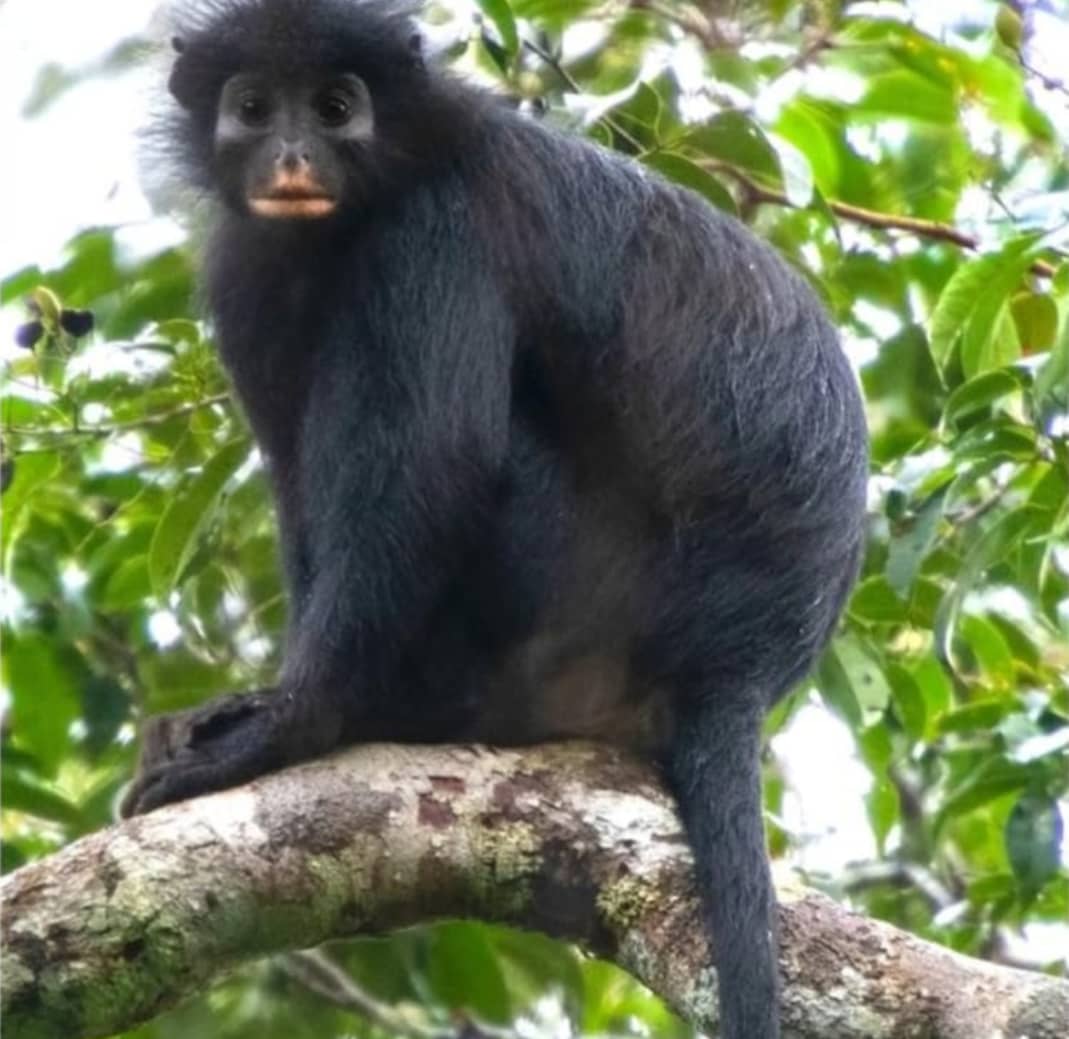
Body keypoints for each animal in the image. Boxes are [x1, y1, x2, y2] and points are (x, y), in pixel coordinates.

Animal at [120, 2, 869, 1036]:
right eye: (255, 108)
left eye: (336, 108)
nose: (292, 157)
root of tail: (741, 664)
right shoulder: (248, 271)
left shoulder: (436, 231)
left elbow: (435, 464)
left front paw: (296, 725)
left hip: (571, 602)